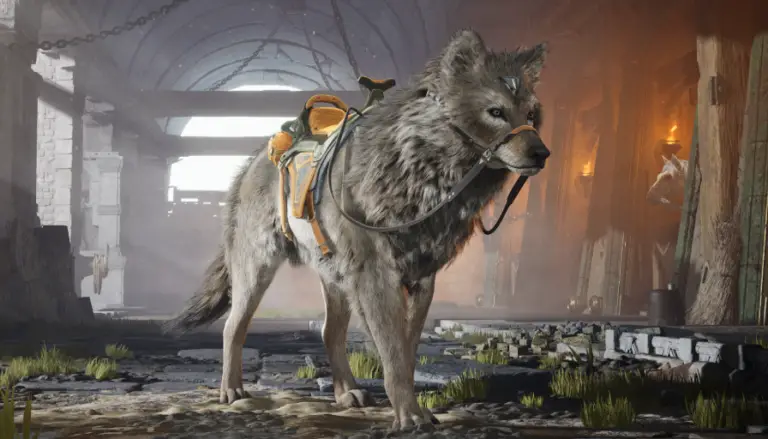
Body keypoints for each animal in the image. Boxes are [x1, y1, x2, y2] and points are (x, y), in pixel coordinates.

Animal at [167, 29, 549, 430]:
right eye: (496, 112)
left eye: (531, 115)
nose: (543, 154)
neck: (416, 173)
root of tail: (254, 159)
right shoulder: (375, 277)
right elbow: (392, 353)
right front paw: (408, 416)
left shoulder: (422, 280)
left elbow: (407, 354)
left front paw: (417, 411)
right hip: (257, 271)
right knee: (233, 327)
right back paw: (231, 391)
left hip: (335, 278)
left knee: (329, 332)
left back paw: (346, 393)